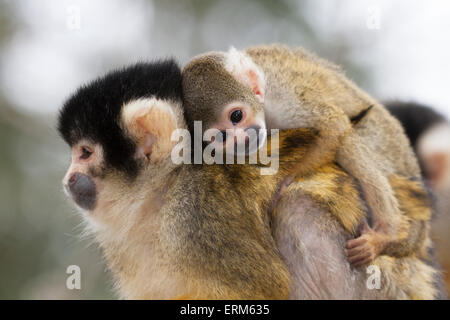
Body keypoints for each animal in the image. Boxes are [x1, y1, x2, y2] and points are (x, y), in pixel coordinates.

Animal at [181, 44, 424, 264]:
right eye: (221, 136)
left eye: (237, 116)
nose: (241, 140)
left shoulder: (283, 95)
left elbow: (334, 124)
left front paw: (284, 180)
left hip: (384, 139)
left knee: (347, 141)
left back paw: (385, 235)